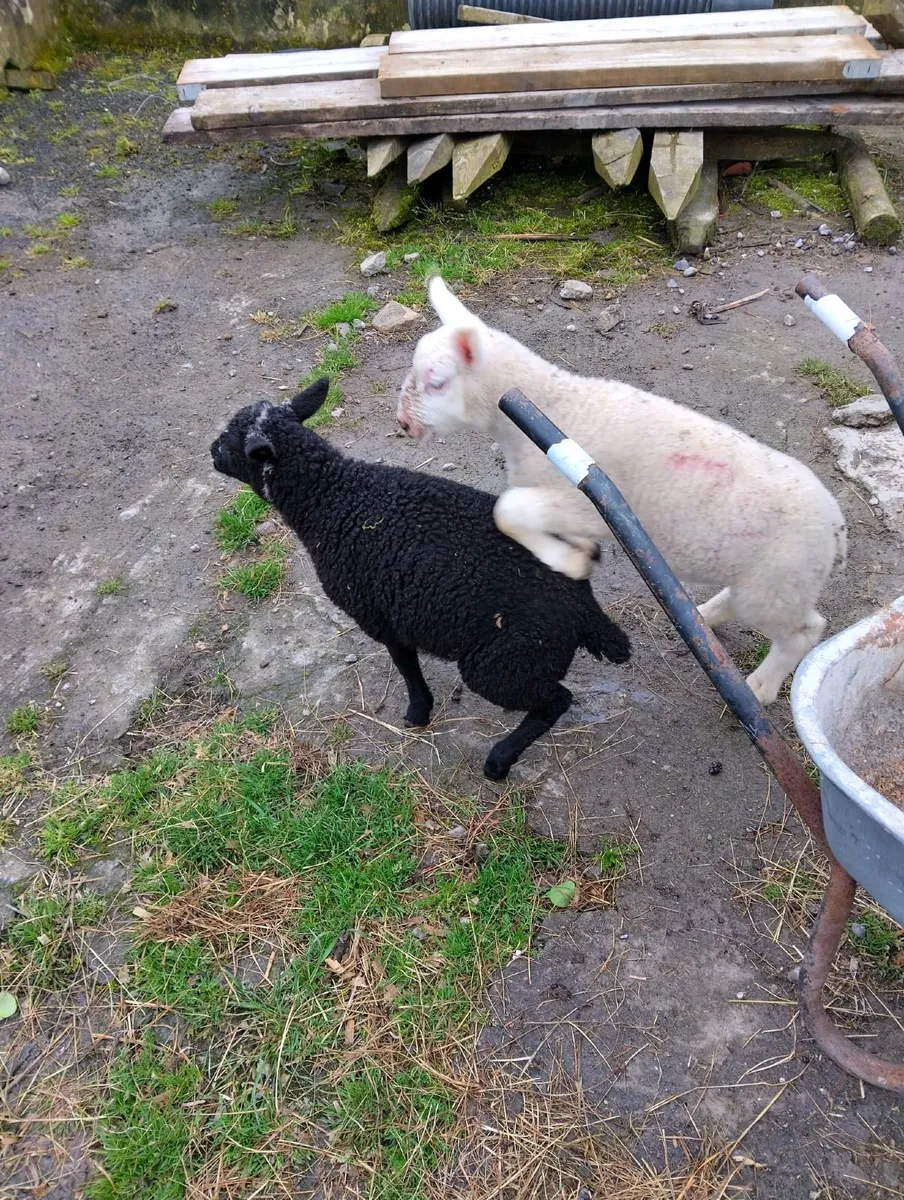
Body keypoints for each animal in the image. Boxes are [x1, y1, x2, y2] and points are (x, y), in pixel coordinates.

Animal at [210, 378, 631, 780]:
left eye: (232, 440)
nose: (211, 450)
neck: (332, 498)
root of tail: (585, 611)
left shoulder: (380, 616)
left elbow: (405, 665)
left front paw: (417, 712)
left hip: (503, 661)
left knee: (555, 700)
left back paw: (498, 762)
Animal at [396, 276, 848, 707]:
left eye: (436, 383)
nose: (403, 424)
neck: (551, 403)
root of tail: (836, 526)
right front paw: (578, 550)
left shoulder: (589, 503)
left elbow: (507, 511)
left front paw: (571, 561)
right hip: (766, 579)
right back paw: (705, 618)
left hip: (779, 581)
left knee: (806, 630)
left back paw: (762, 685)